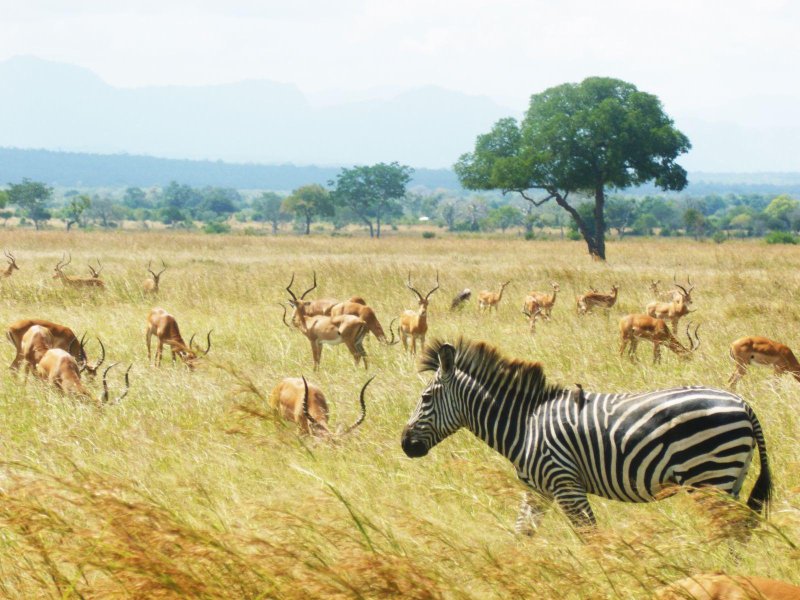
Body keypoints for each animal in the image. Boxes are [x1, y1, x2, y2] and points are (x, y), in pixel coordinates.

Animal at [404, 338, 772, 536]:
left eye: (425, 398)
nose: (405, 445)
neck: (525, 425)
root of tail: (742, 403)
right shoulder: (537, 490)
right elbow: (522, 533)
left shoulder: (566, 484)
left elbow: (591, 537)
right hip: (730, 477)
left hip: (710, 475)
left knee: (727, 531)